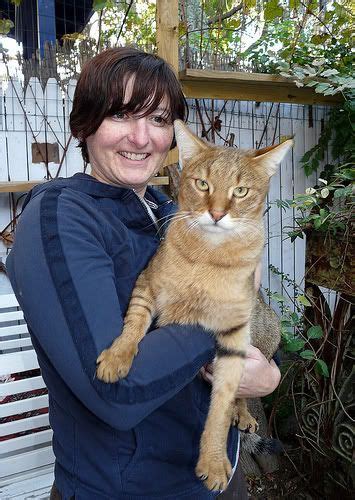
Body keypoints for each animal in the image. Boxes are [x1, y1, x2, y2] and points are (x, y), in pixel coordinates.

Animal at [96, 121, 294, 492]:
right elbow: (133, 326)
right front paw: (117, 356)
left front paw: (214, 462)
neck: (206, 257)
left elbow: (220, 409)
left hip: (265, 337)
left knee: (240, 398)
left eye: (241, 191)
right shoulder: (147, 286)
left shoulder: (234, 332)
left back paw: (244, 416)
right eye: (202, 184)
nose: (216, 213)